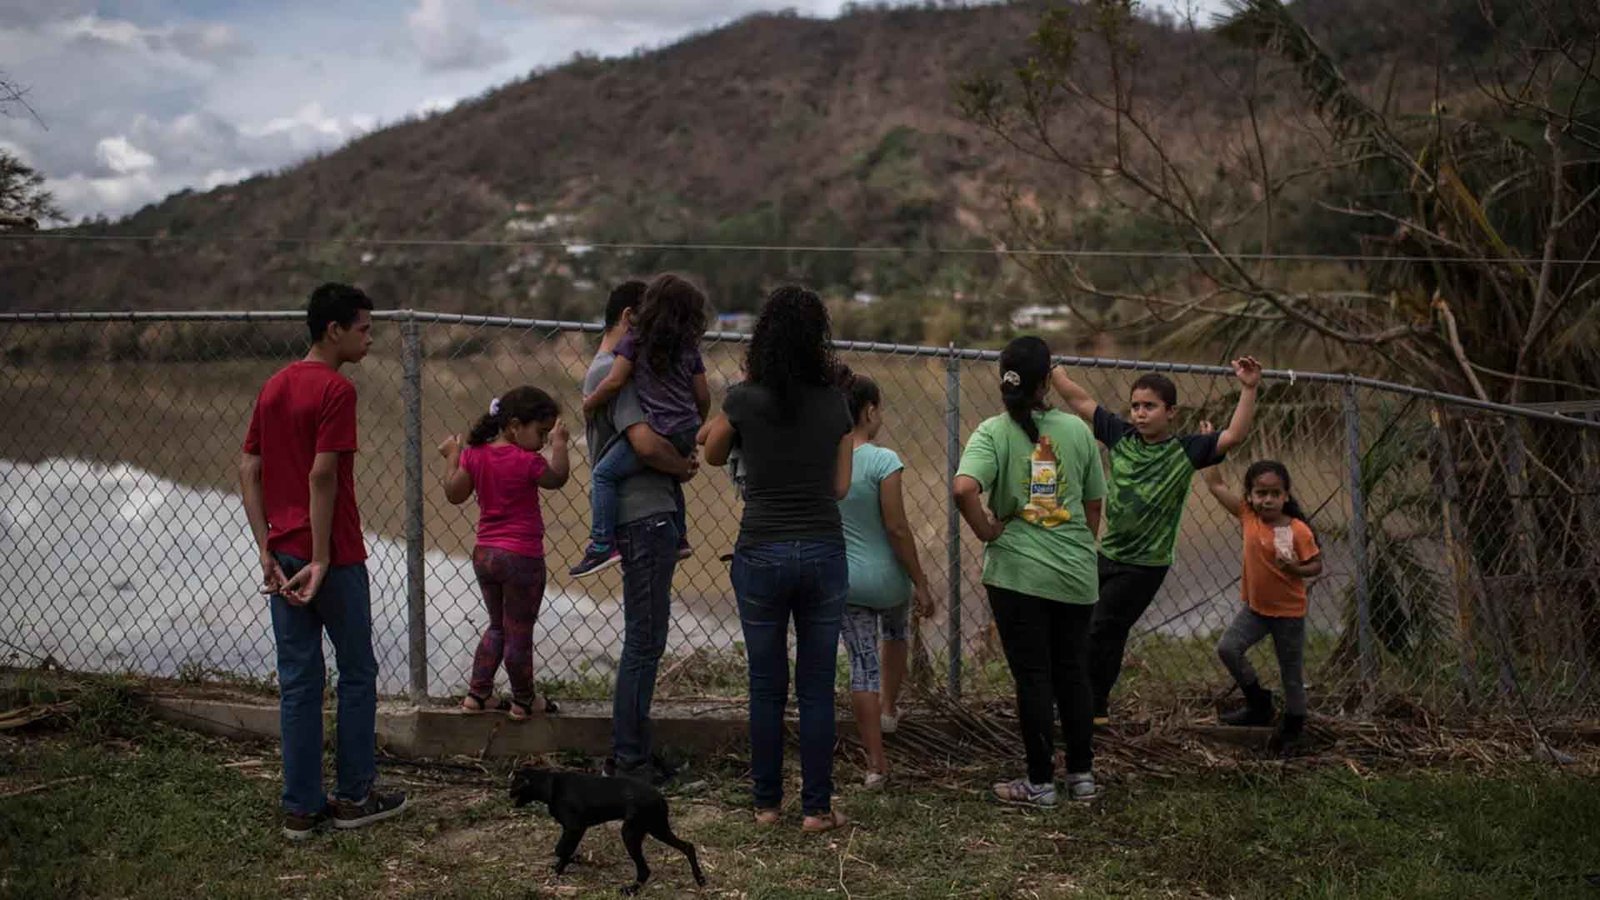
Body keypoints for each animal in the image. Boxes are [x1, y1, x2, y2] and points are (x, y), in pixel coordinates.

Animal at [512, 762, 707, 890]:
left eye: (513, 787)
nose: (508, 794)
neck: (551, 785)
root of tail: (660, 797)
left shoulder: (575, 827)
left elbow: (561, 850)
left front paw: (570, 863)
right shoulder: (573, 830)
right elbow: (564, 851)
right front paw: (565, 865)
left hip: (632, 833)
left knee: (645, 869)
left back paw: (631, 890)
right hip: (656, 829)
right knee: (687, 846)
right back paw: (700, 879)